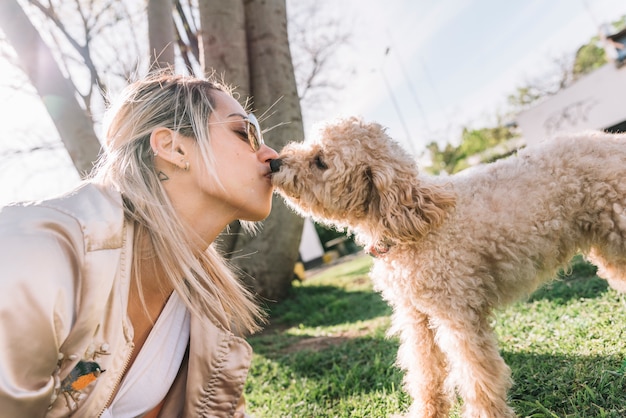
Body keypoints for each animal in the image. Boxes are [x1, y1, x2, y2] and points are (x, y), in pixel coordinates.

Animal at [268, 117, 624, 418]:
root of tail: (613, 140)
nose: (274, 161)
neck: (411, 221)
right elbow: (425, 372)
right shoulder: (417, 317)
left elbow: (475, 374)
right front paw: (426, 412)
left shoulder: (457, 314)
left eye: (320, 161)